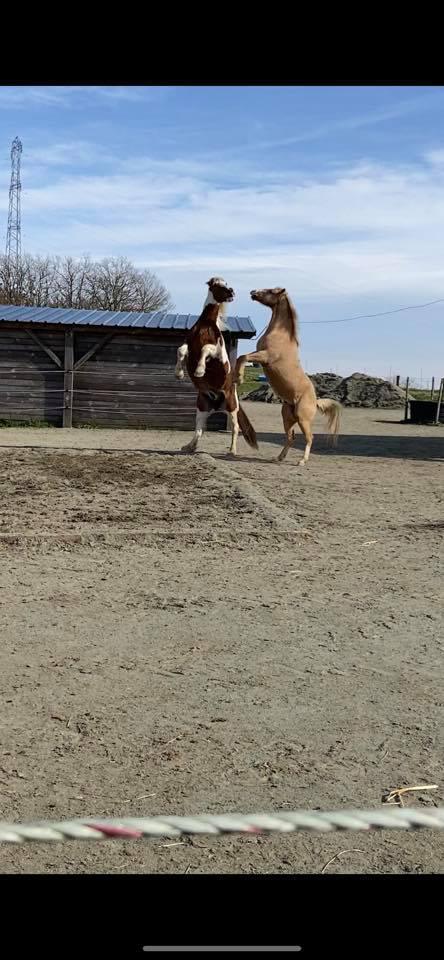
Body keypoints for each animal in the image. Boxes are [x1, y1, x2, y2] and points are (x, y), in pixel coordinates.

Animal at [173, 278, 256, 458]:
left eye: (227, 284)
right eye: (217, 285)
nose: (232, 292)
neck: (206, 325)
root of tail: (218, 405)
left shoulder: (215, 351)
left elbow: (205, 349)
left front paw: (199, 370)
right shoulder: (188, 344)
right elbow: (180, 350)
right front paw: (179, 374)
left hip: (232, 407)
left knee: (236, 428)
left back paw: (232, 451)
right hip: (202, 407)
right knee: (199, 430)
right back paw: (189, 447)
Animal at [234, 284, 342, 464]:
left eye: (271, 291)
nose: (253, 292)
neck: (281, 335)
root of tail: (315, 401)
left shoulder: (265, 356)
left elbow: (243, 357)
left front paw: (239, 378)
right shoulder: (259, 354)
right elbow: (241, 357)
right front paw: (237, 377)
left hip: (303, 419)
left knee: (309, 437)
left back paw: (302, 461)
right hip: (287, 417)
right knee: (291, 437)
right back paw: (279, 457)